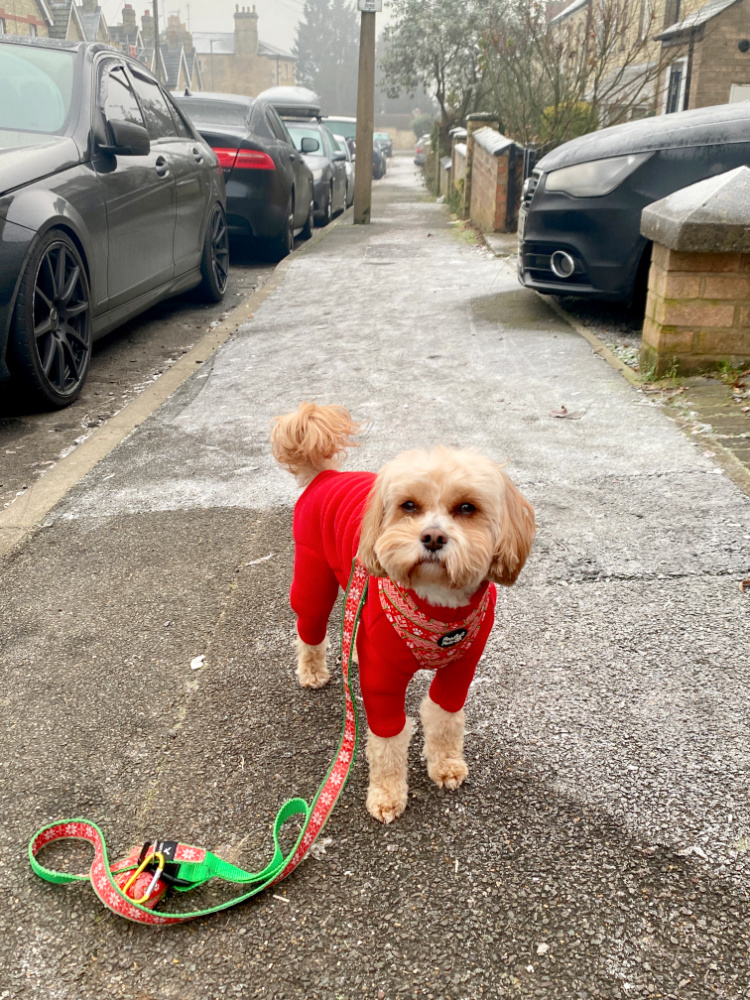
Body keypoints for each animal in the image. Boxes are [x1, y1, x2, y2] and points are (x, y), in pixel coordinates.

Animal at [270, 402, 536, 824]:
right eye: (408, 505)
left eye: (467, 508)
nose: (433, 537)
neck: (436, 610)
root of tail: (326, 474)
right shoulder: (383, 680)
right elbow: (387, 738)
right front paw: (387, 793)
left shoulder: (461, 668)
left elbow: (445, 717)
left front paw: (445, 764)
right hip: (313, 578)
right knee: (310, 627)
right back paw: (312, 672)